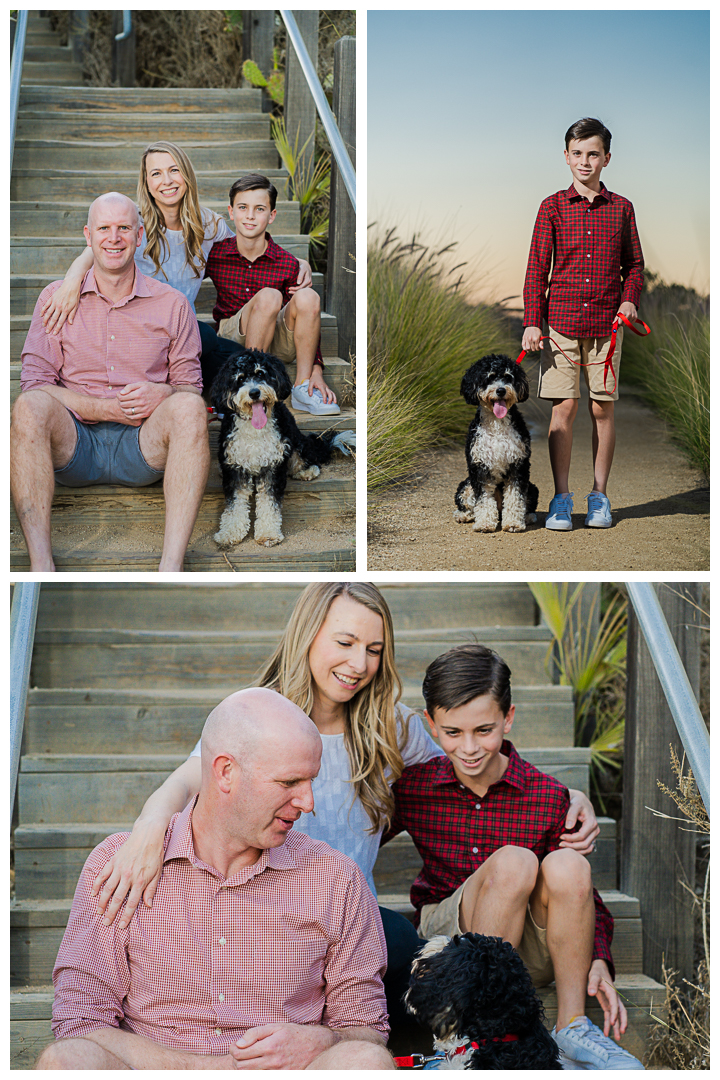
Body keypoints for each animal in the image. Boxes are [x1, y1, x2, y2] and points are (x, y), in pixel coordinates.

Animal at [453, 354, 537, 531]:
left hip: (532, 488)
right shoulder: (479, 467)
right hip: (466, 486)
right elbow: (483, 499)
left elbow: (515, 497)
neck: (497, 423)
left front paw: (513, 522)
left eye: (508, 377)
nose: (501, 390)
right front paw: (484, 523)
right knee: (469, 505)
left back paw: (527, 517)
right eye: (489, 377)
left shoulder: (518, 465)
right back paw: (464, 515)